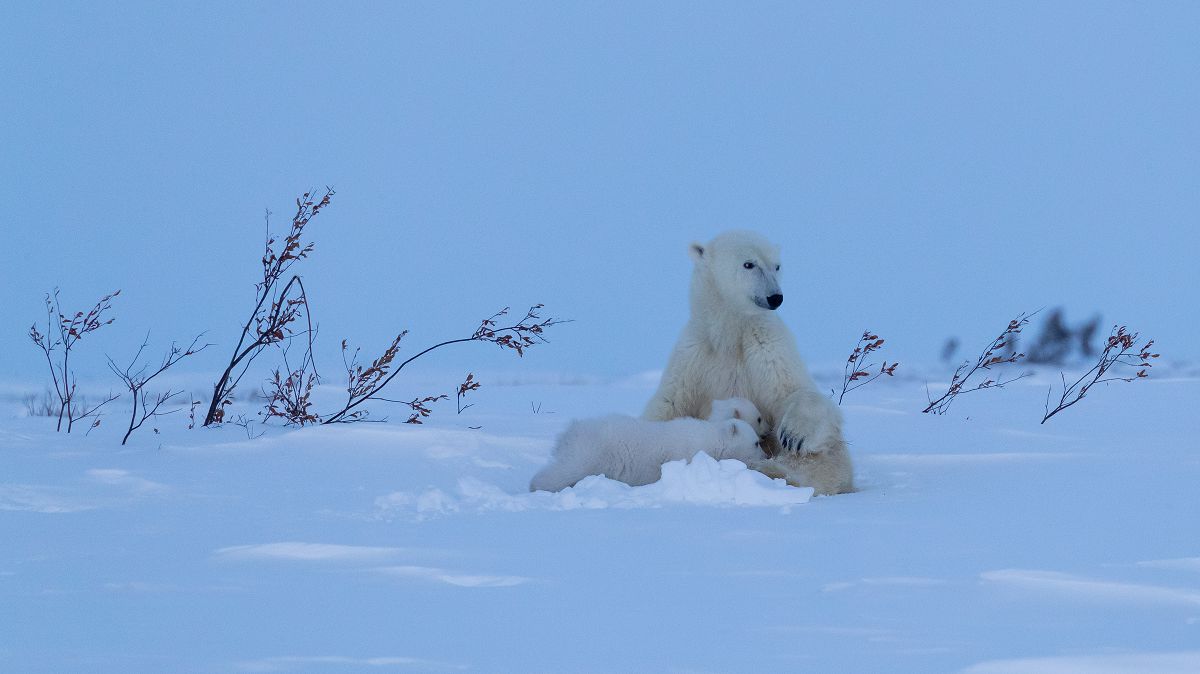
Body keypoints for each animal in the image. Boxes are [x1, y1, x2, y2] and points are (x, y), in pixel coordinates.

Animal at [530, 398, 763, 486]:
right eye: (756, 443)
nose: (765, 454)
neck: (712, 439)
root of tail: (570, 431)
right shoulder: (686, 452)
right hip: (590, 452)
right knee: (565, 471)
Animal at [643, 229, 859, 494]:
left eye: (777, 266)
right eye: (749, 264)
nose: (775, 297)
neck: (731, 333)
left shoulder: (768, 347)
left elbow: (793, 390)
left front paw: (793, 434)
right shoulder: (693, 355)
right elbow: (668, 404)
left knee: (828, 460)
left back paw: (768, 470)